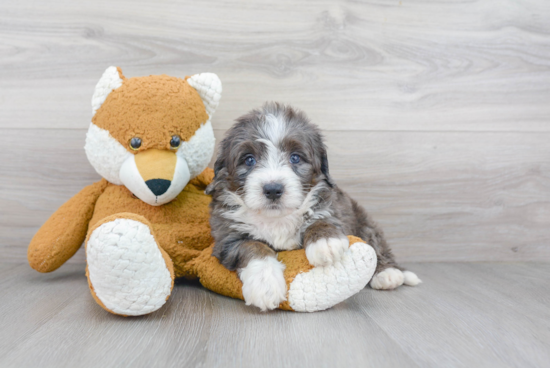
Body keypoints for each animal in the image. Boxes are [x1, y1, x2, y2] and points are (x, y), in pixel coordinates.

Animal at [207, 101, 422, 310]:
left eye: (295, 157)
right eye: (249, 160)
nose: (273, 189)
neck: (277, 218)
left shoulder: (331, 206)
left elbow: (321, 219)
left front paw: (325, 242)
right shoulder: (227, 235)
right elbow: (251, 246)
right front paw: (265, 284)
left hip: (364, 221)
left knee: (377, 244)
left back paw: (388, 273)